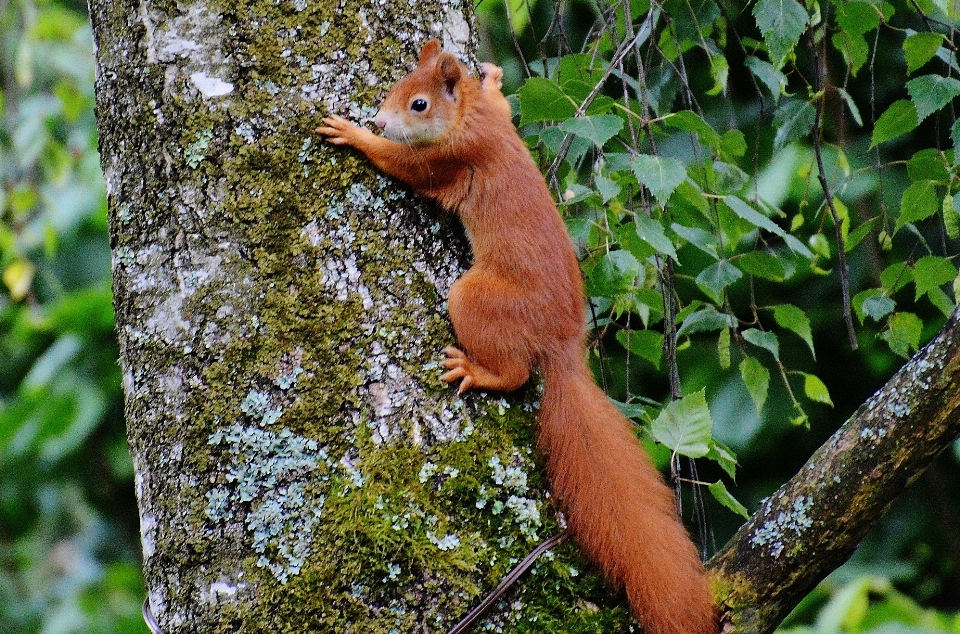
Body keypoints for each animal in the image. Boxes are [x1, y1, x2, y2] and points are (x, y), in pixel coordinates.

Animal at [318, 40, 716, 632]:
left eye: (418, 104)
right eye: (397, 87)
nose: (380, 119)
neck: (468, 117)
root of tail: (565, 347)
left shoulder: (449, 158)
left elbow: (405, 166)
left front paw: (355, 135)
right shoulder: (492, 121)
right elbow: (502, 104)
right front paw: (495, 79)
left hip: (475, 300)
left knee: (515, 373)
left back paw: (476, 371)